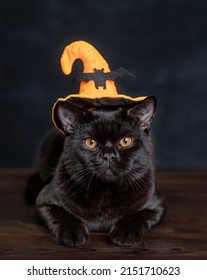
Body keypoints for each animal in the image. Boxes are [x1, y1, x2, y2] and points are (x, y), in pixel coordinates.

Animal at [25, 96, 165, 247]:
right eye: (90, 142)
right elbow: (63, 215)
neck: (106, 191)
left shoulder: (156, 205)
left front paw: (124, 234)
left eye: (125, 141)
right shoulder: (44, 202)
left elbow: (137, 216)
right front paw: (73, 234)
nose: (109, 155)